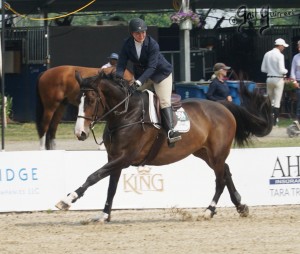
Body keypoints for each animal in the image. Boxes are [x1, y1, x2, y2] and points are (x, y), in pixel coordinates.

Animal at [55, 70, 274, 221]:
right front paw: (104, 215)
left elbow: (94, 176)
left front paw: (67, 199)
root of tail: (222, 106)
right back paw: (241, 206)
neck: (126, 114)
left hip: (216, 153)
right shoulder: (115, 158)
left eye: (91, 100)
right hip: (205, 153)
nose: (80, 133)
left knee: (220, 179)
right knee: (226, 172)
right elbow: (111, 187)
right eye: (78, 100)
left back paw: (208, 211)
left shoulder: (124, 158)